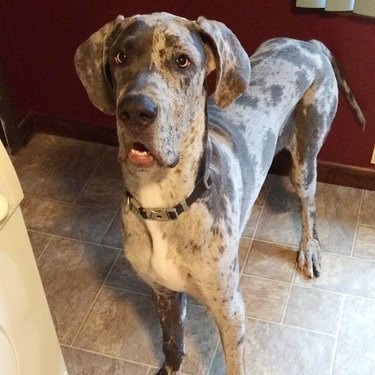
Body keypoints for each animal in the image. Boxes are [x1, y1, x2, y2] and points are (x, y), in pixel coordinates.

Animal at [75, 11, 366, 375]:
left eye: (182, 61)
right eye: (120, 57)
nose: (135, 111)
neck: (166, 203)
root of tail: (308, 43)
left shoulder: (231, 312)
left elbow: (234, 363)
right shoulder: (164, 292)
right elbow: (172, 345)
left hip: (306, 157)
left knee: (308, 204)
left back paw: (310, 249)